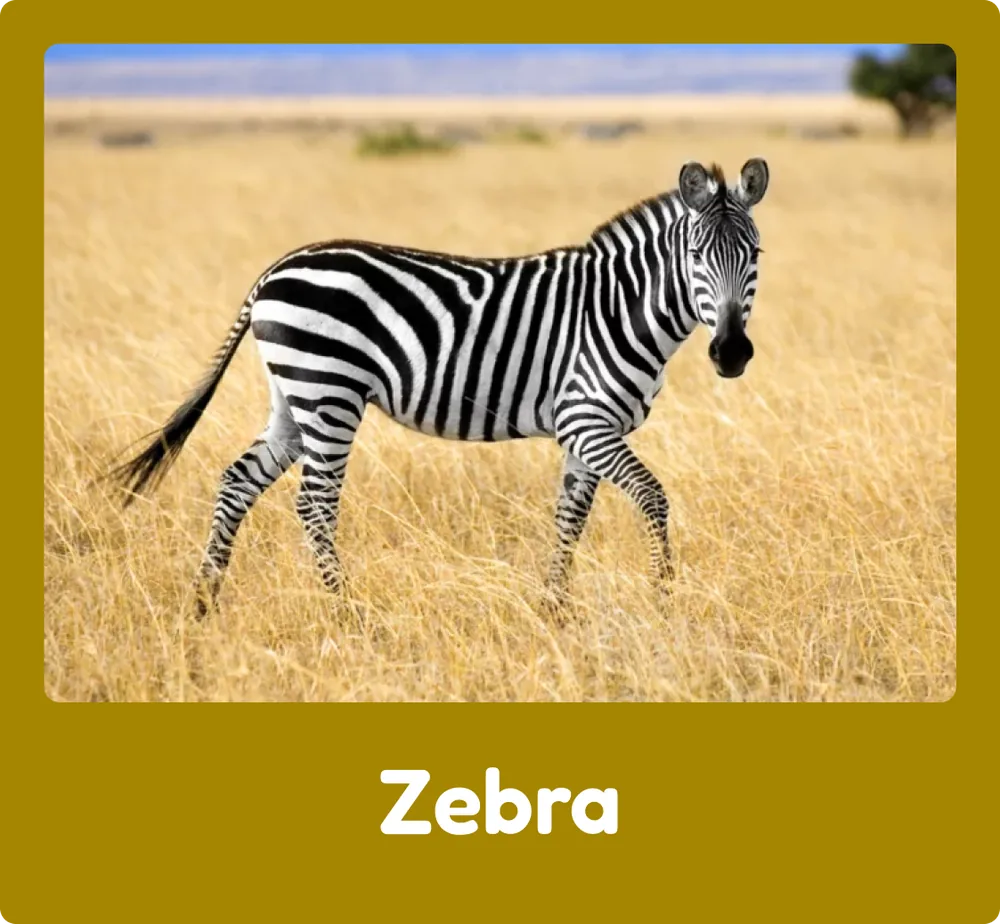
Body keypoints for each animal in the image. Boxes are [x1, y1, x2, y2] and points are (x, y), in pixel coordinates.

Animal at [107, 157, 769, 616]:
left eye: (756, 254)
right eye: (696, 255)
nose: (733, 353)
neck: (618, 307)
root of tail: (275, 269)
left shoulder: (586, 432)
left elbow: (570, 518)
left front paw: (554, 611)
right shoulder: (585, 418)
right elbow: (653, 498)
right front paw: (665, 598)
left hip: (293, 398)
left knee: (237, 482)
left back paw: (204, 602)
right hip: (330, 391)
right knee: (314, 505)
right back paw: (347, 615)